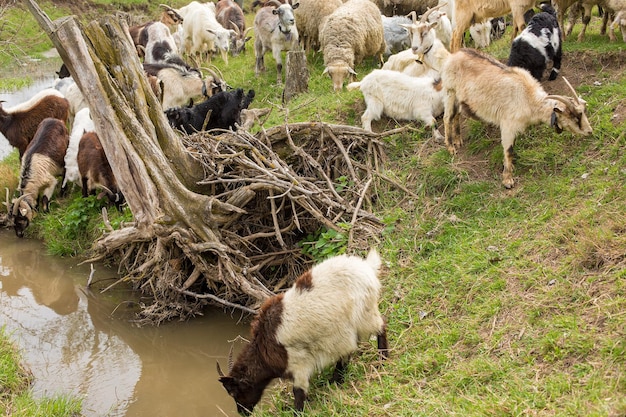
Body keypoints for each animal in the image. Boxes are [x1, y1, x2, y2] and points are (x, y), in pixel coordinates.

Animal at [217, 249, 388, 414]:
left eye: (234, 392)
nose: (242, 412)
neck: (263, 348)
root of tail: (366, 267)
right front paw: (336, 380)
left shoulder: (298, 362)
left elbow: (298, 392)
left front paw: (297, 411)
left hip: (364, 313)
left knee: (381, 327)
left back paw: (383, 359)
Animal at [436, 46, 592, 187]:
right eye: (575, 116)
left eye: (583, 112)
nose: (589, 131)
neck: (528, 98)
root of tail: (452, 56)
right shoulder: (508, 124)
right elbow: (508, 150)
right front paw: (508, 180)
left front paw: (511, 166)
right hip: (450, 92)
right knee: (447, 118)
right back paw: (451, 148)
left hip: (459, 98)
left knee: (456, 115)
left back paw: (458, 140)